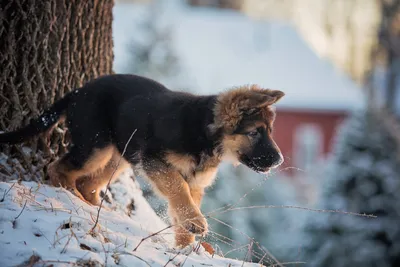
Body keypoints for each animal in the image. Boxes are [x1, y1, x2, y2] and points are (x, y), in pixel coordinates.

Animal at [0, 74, 284, 249]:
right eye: (254, 133)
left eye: (271, 131)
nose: (279, 161)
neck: (204, 133)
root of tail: (78, 91)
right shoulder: (155, 161)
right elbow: (178, 190)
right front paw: (196, 223)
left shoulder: (194, 182)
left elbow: (181, 205)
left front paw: (184, 246)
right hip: (96, 147)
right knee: (58, 168)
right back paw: (73, 199)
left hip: (119, 158)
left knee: (89, 183)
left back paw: (94, 207)